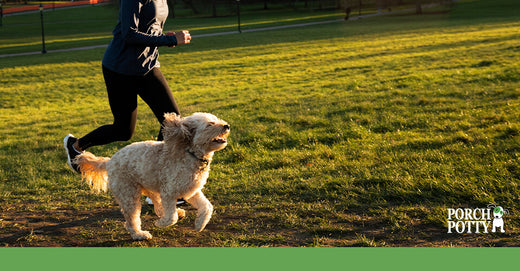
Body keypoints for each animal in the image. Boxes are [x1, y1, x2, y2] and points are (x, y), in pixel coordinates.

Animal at [73, 112, 230, 240]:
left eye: (217, 119)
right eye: (210, 124)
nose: (227, 126)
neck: (191, 153)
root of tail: (109, 161)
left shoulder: (191, 191)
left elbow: (207, 207)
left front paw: (199, 225)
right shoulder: (169, 192)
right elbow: (171, 217)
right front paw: (161, 224)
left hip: (150, 187)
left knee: (158, 207)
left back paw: (176, 213)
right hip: (129, 194)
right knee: (132, 219)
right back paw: (139, 234)